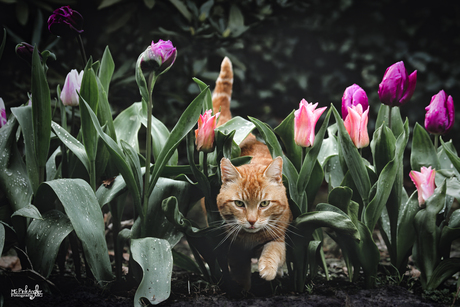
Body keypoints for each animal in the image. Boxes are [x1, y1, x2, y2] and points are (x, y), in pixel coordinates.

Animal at [211, 57, 292, 292]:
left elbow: (274, 251)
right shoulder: (235, 246)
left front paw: (268, 269)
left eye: (264, 204)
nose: (252, 221)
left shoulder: (279, 237)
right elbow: (239, 267)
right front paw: (242, 288)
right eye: (239, 204)